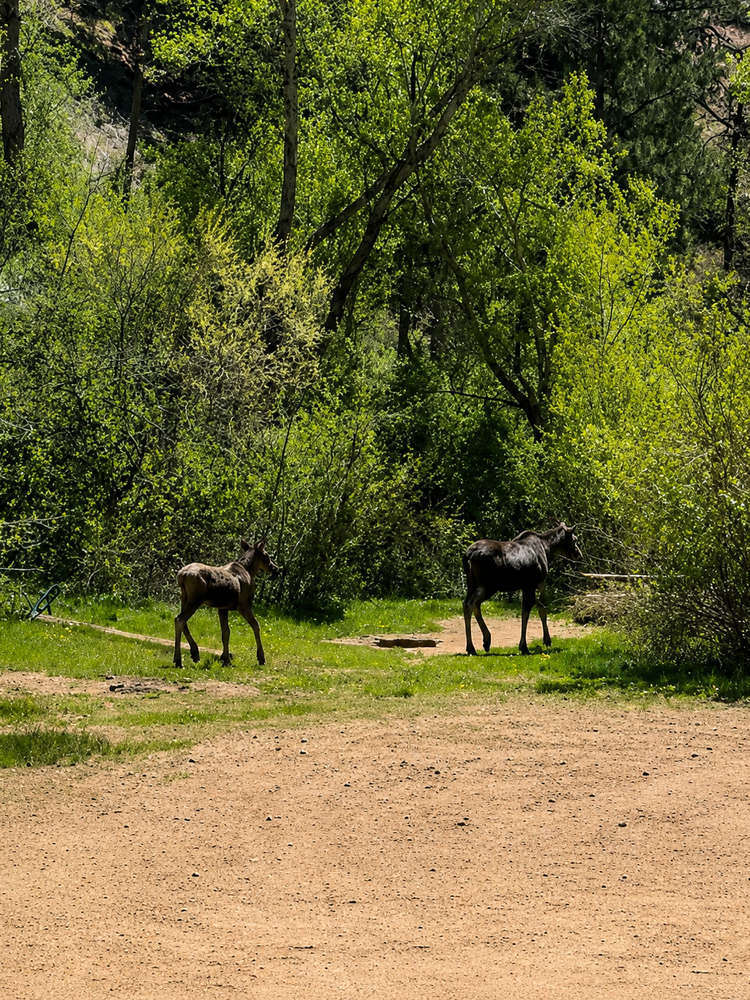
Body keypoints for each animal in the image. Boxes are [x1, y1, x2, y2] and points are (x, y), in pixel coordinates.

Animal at [174, 539, 278, 667]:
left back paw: (194, 653)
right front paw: (261, 657)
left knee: (182, 620)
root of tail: (182, 575)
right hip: (196, 599)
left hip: (184, 597)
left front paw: (225, 658)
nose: (275, 568)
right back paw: (178, 660)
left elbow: (225, 632)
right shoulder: (244, 604)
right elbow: (256, 625)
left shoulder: (222, 608)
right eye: (266, 555)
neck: (250, 571)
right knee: (180, 619)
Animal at [463, 522, 582, 656]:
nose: (579, 554)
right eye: (575, 539)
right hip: (488, 585)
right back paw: (475, 646)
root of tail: (468, 556)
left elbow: (533, 609)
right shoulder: (535, 584)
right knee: (471, 603)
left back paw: (480, 643)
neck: (548, 550)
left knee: (469, 603)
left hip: (472, 584)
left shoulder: (526, 587)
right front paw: (527, 645)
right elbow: (534, 610)